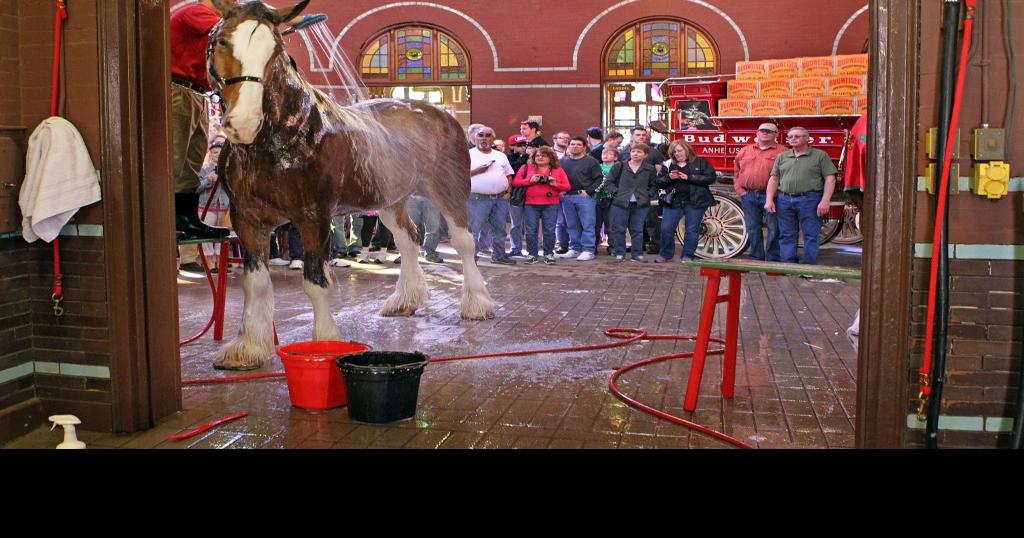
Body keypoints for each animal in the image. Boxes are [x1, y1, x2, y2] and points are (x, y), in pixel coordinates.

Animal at [204, 0, 495, 368]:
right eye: (222, 41)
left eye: (276, 50)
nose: (244, 123)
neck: (283, 137)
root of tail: (439, 112)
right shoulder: (247, 219)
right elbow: (255, 283)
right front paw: (247, 348)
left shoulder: (313, 216)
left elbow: (316, 281)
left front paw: (325, 344)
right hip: (391, 199)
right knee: (408, 239)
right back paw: (405, 300)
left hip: (448, 188)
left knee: (464, 242)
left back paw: (477, 304)